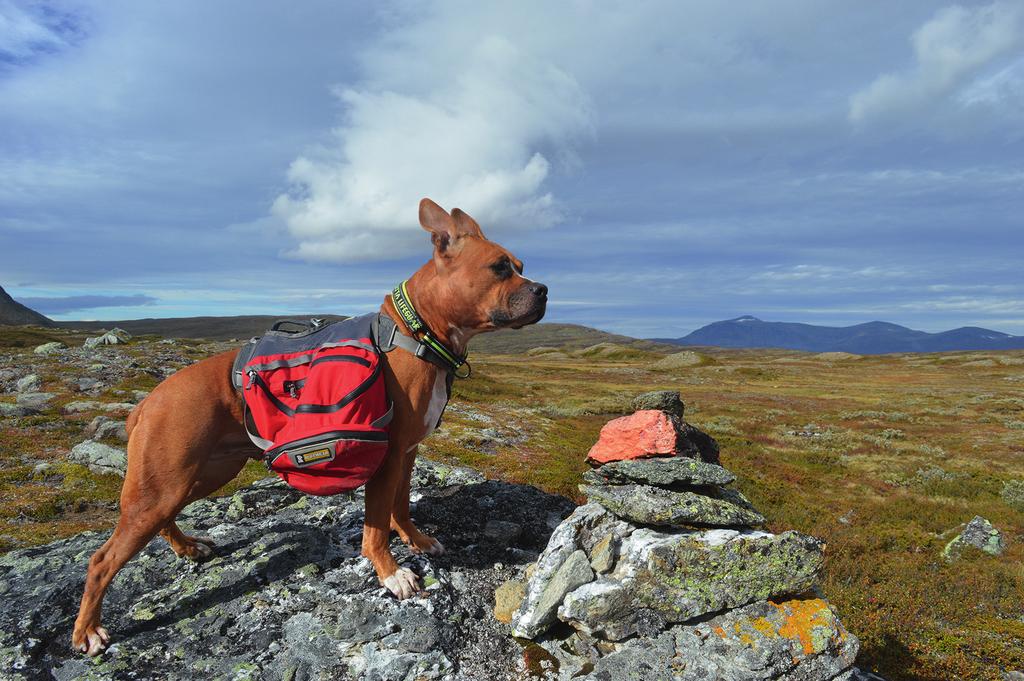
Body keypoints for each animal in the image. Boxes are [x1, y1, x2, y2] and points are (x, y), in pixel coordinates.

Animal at [72, 197, 548, 655]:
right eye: (500, 267)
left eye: (521, 265)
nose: (543, 290)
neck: (417, 332)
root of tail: (146, 403)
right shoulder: (388, 454)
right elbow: (377, 525)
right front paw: (392, 574)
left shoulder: (407, 453)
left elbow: (401, 507)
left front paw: (417, 540)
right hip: (164, 484)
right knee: (101, 561)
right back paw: (89, 631)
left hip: (198, 476)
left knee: (163, 520)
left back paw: (188, 547)